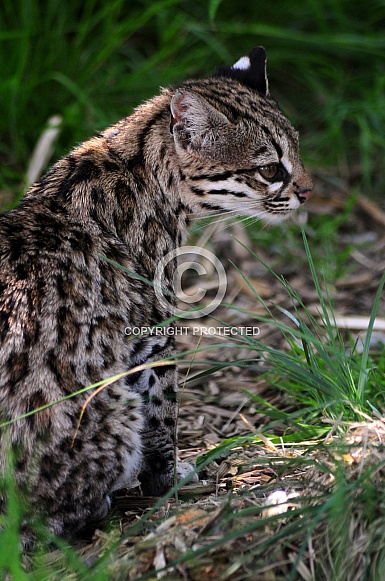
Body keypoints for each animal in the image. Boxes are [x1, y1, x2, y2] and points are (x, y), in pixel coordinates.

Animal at [0, 46, 312, 540]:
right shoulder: (152, 330)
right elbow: (164, 412)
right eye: (269, 170)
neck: (139, 161)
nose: (308, 191)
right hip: (109, 405)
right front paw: (167, 478)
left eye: (297, 152)